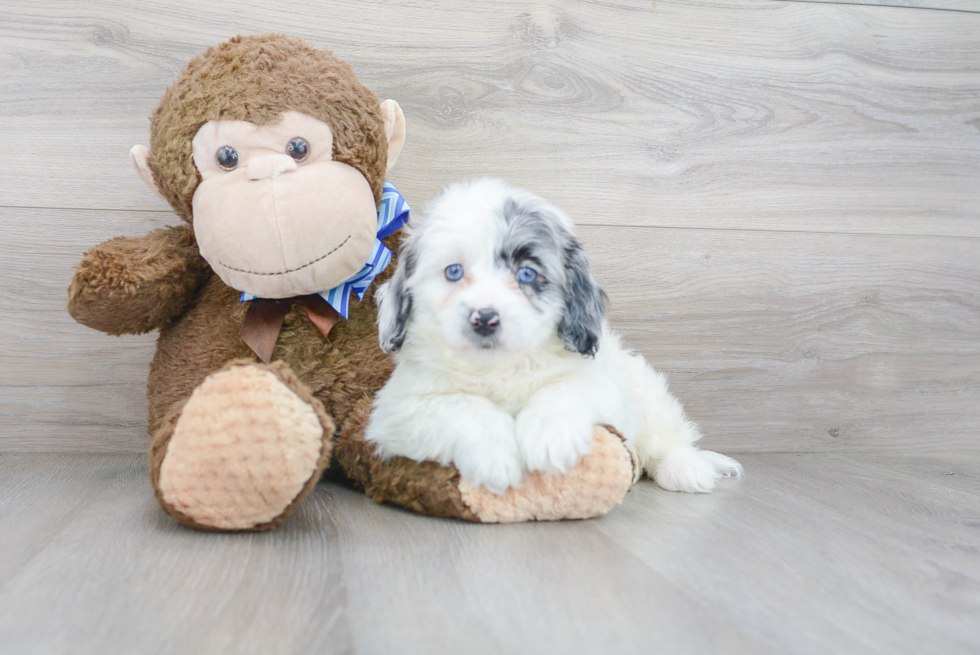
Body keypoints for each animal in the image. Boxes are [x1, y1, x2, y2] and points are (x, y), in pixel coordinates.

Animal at [368, 177, 744, 494]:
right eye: (454, 272)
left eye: (527, 274)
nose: (485, 318)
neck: (498, 368)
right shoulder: (398, 410)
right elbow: (463, 405)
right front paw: (494, 457)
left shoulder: (601, 386)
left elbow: (563, 389)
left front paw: (551, 439)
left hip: (649, 398)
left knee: (669, 441)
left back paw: (688, 469)